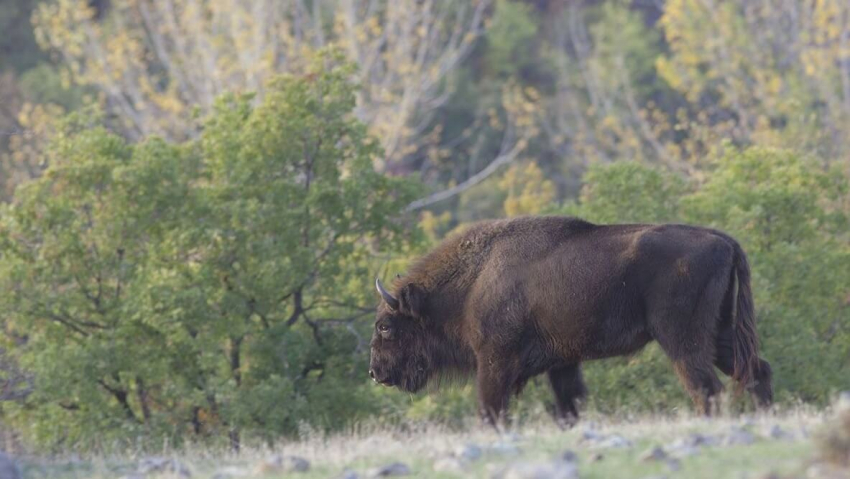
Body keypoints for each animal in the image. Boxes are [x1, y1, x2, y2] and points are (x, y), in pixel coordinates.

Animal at [368, 216, 772, 426]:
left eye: (385, 326)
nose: (375, 372)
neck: (475, 279)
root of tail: (724, 240)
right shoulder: (561, 363)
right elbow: (568, 404)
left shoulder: (495, 360)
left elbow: (490, 406)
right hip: (720, 332)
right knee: (756, 370)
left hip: (681, 339)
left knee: (706, 387)